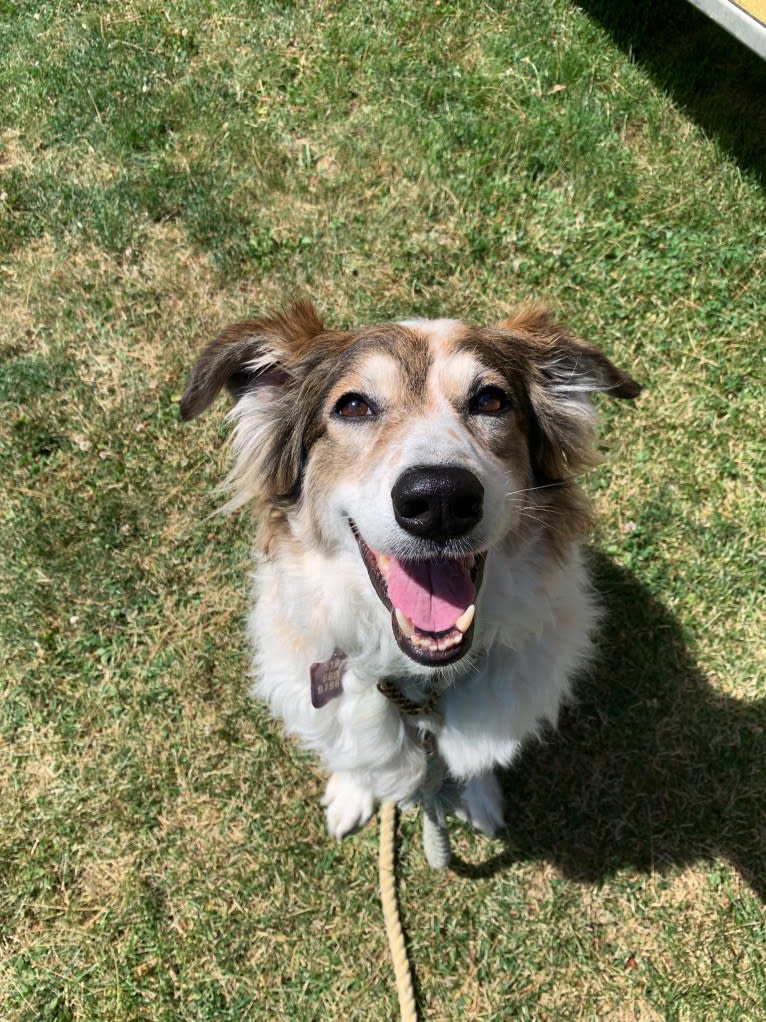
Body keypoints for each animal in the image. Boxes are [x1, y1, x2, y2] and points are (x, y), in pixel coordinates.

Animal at [179, 298, 641, 842]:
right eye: (353, 406)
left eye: (491, 401)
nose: (440, 499)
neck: (421, 686)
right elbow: (356, 758)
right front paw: (350, 793)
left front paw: (480, 799)